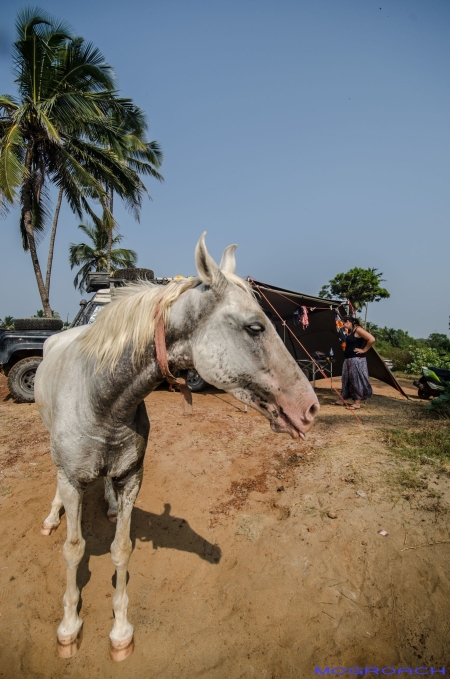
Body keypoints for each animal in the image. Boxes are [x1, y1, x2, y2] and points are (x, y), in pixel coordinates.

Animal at [35, 235, 318, 664]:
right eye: (255, 327)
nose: (311, 408)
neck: (102, 399)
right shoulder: (71, 480)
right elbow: (73, 549)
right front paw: (69, 627)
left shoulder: (132, 478)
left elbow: (121, 549)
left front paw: (120, 631)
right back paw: (53, 516)